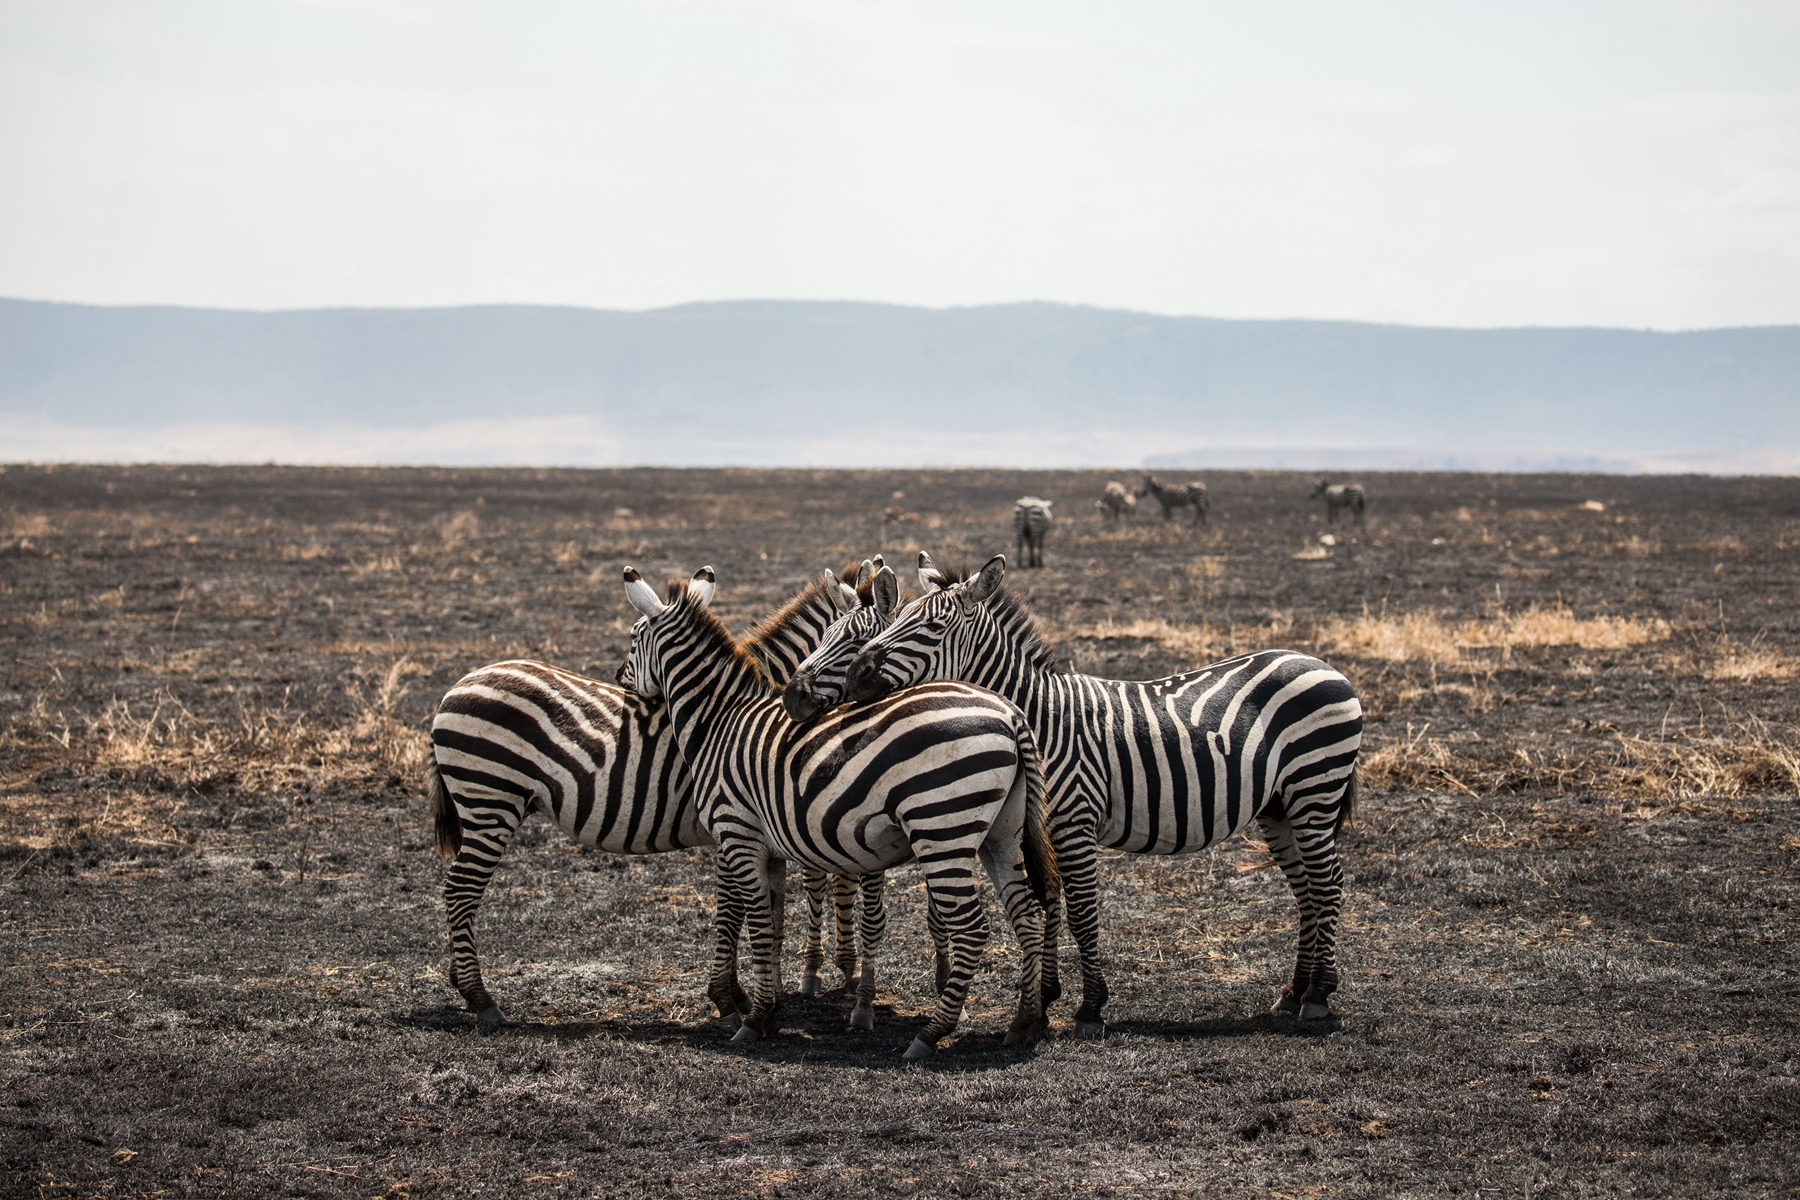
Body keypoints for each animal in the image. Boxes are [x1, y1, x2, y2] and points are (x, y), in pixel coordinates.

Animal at [432, 561, 882, 1021]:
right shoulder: (736, 826)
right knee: (460, 888)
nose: (620, 678)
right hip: (490, 802)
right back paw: (480, 997)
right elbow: (739, 908)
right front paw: (732, 996)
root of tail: (461, 683)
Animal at [622, 564, 1051, 1057]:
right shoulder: (771, 847)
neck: (721, 719)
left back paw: (931, 1034)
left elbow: (756, 922)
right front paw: (772, 1009)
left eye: (632, 639)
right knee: (1028, 916)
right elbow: (773, 921)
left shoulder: (737, 832)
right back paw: (1023, 1024)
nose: (618, 677)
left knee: (972, 928)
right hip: (1001, 833)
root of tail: (1010, 713)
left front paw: (753, 1019)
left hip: (941, 829)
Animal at [831, 554, 1360, 1036]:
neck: (1038, 718)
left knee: (1328, 882)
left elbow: (1083, 911)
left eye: (933, 626)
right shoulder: (1038, 825)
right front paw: (1044, 998)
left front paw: (1089, 1007)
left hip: (1315, 789)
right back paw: (1293, 992)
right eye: (899, 616)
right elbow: (1048, 900)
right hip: (1280, 807)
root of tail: (1318, 663)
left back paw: (1318, 994)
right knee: (1306, 889)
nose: (858, 675)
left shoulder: (1075, 821)